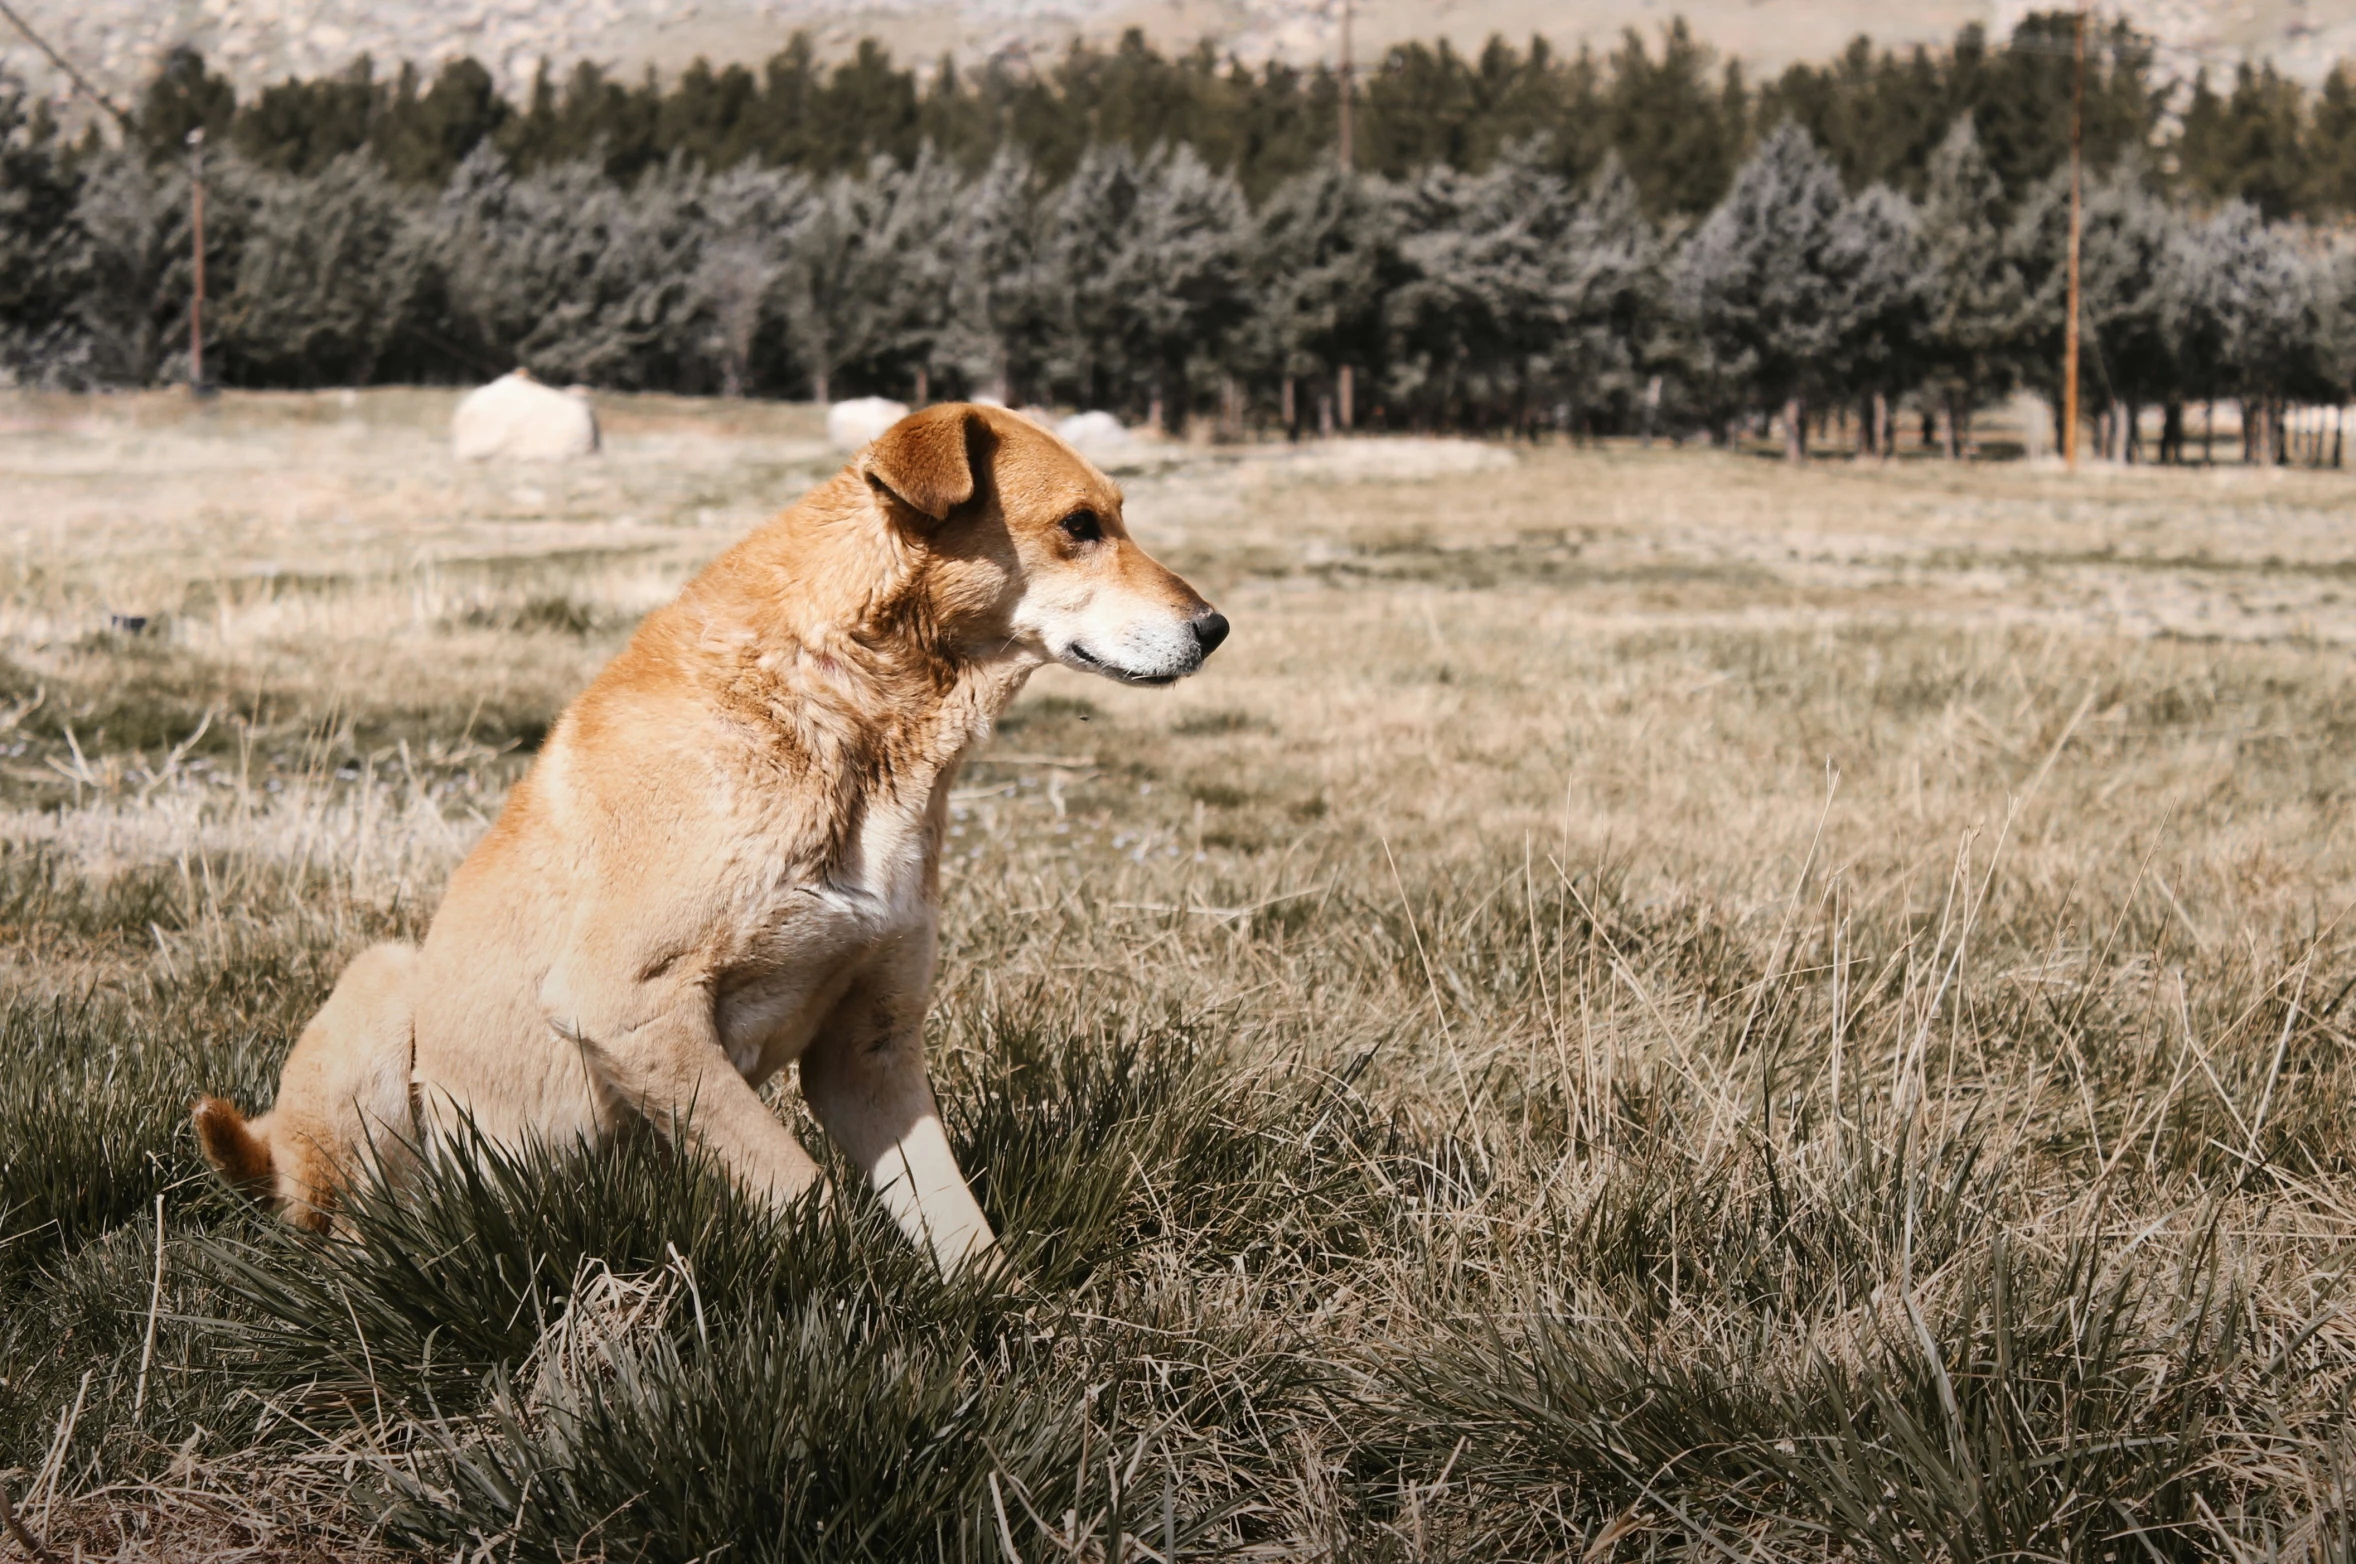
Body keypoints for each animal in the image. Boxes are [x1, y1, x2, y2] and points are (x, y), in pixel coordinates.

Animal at [197, 402, 1234, 1271]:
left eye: (1118, 515)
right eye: (1080, 527)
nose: (1216, 627)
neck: (850, 710)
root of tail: (269, 1145)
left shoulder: (868, 1053)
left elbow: (959, 1227)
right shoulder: (628, 1006)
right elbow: (804, 1193)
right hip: (381, 986)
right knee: (341, 1227)